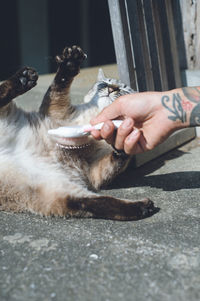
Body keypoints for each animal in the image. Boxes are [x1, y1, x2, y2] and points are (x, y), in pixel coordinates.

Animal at [0, 46, 156, 220]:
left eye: (122, 89)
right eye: (105, 83)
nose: (111, 89)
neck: (95, 117)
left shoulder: (94, 174)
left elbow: (115, 160)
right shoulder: (56, 110)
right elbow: (59, 86)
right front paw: (70, 61)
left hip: (54, 189)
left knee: (87, 202)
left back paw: (144, 207)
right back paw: (24, 78)